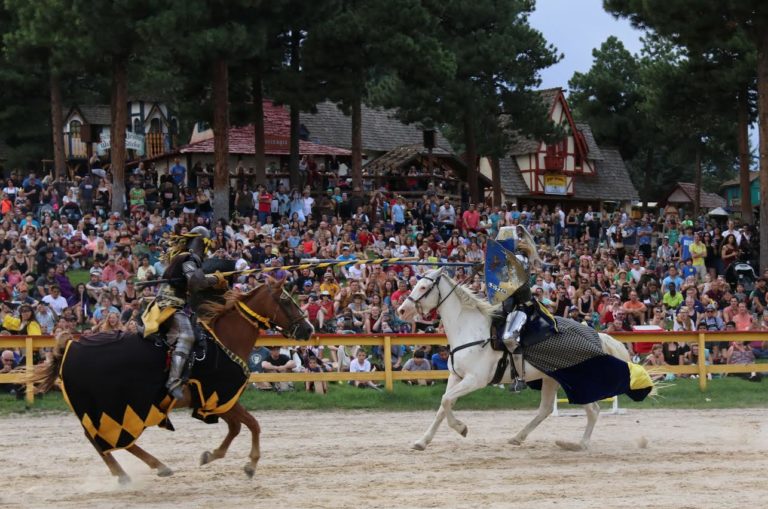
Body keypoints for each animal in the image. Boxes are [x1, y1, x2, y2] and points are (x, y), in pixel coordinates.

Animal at [29, 280, 312, 482]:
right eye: (286, 301)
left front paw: (211, 456)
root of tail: (69, 348)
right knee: (102, 442)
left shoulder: (215, 401)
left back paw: (153, 467)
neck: (225, 340)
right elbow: (252, 425)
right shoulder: (219, 396)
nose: (308, 329)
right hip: (111, 411)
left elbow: (237, 428)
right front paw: (250, 464)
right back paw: (130, 473)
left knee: (106, 442)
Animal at [396, 268, 636, 450]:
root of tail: (597, 336)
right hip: (551, 379)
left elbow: (446, 402)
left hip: (577, 381)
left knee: (593, 410)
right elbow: (443, 405)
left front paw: (462, 428)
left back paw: (581, 444)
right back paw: (518, 437)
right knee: (546, 409)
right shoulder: (457, 378)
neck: (470, 329)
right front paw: (422, 441)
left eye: (423, 288)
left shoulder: (475, 380)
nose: (401, 310)